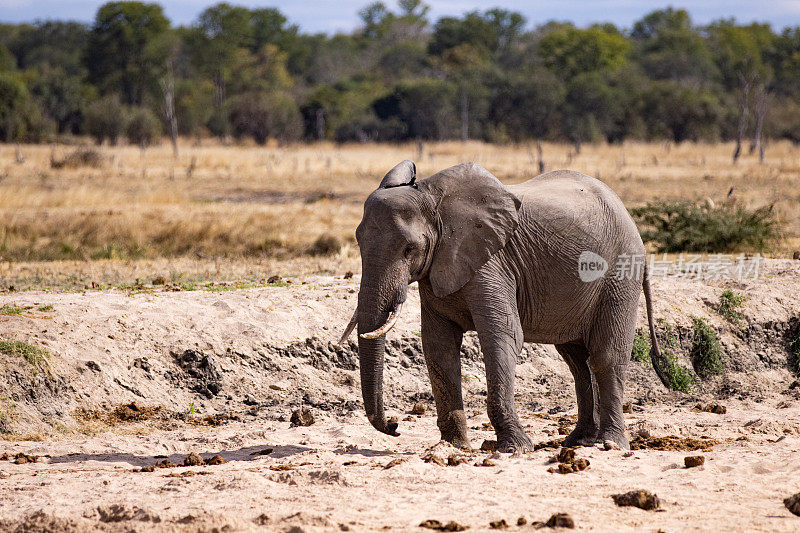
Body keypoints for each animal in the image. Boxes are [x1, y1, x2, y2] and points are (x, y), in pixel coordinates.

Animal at [340, 160, 668, 450]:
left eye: (410, 249)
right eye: (358, 243)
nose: (395, 426)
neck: (434, 200)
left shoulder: (492, 261)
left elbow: (502, 337)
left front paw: (514, 448)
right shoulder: (438, 269)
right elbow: (438, 347)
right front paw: (454, 447)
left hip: (620, 274)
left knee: (606, 356)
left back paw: (610, 444)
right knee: (576, 362)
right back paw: (579, 441)